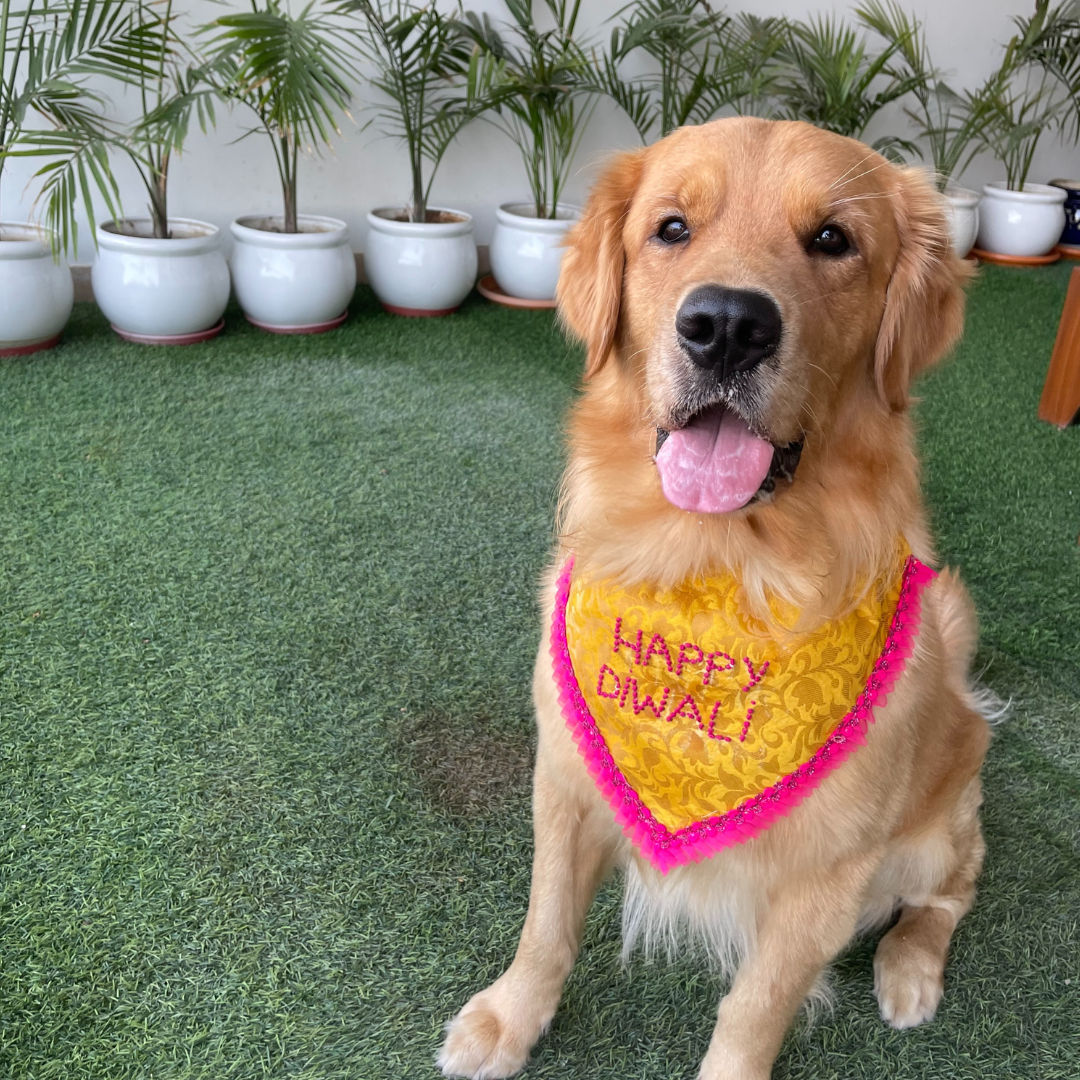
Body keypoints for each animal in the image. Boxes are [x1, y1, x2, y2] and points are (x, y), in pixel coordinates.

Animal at [436, 118, 989, 1080]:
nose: (727, 325)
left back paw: (911, 968)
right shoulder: (566, 777)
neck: (716, 571)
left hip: (934, 827)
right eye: (671, 228)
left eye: (833, 239)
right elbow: (545, 924)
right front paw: (510, 1017)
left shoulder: (828, 870)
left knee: (954, 888)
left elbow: (755, 1009)